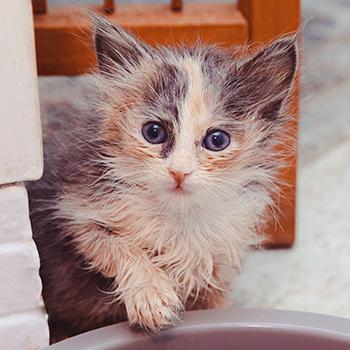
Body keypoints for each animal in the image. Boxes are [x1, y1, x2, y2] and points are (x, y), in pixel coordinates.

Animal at [27, 16, 296, 342]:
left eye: (217, 140)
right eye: (153, 132)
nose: (179, 172)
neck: (178, 216)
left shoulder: (218, 263)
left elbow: (214, 303)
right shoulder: (75, 209)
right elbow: (117, 246)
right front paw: (152, 298)